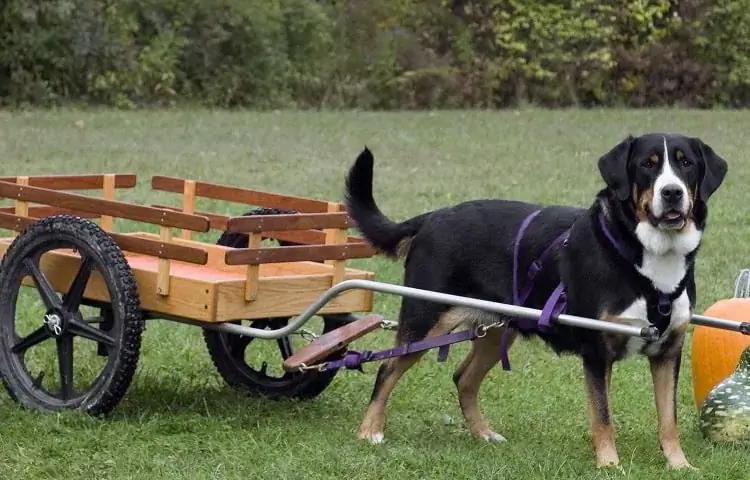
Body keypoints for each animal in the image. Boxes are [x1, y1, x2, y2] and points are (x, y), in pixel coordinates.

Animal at [346, 133, 728, 470]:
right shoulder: (596, 352)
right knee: (387, 368)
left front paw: (679, 465)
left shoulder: (667, 352)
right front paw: (609, 464)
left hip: (496, 330)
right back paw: (369, 431)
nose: (672, 192)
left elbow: (668, 420)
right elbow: (602, 416)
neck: (647, 262)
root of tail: (434, 216)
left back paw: (484, 434)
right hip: (425, 319)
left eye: (686, 164)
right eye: (647, 164)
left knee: (463, 378)